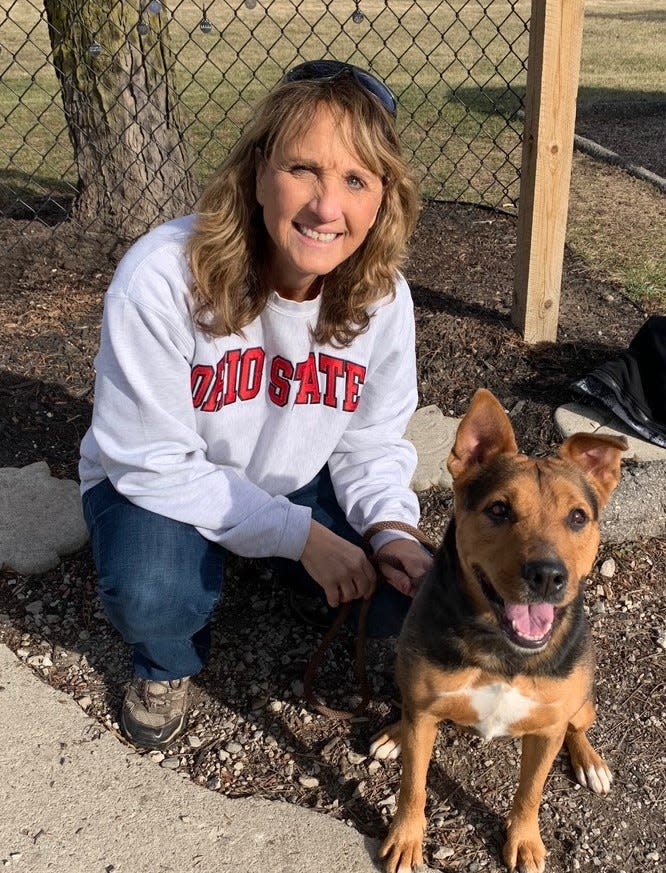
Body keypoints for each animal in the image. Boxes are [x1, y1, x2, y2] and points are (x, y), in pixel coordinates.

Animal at [370, 388, 624, 872]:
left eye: (578, 517)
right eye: (499, 510)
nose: (547, 575)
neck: (501, 649)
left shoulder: (546, 732)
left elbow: (530, 793)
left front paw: (524, 841)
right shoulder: (424, 714)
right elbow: (413, 786)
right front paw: (406, 840)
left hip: (582, 702)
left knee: (578, 726)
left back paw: (590, 761)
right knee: (408, 710)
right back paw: (393, 734)